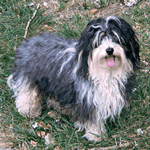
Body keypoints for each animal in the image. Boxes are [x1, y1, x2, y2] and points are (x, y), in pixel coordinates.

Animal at [7, 15, 140, 141]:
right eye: (99, 40)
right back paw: (28, 111)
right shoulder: (88, 99)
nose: (109, 50)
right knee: (26, 95)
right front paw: (95, 135)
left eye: (116, 38)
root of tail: (28, 42)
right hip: (28, 78)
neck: (105, 72)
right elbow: (92, 119)